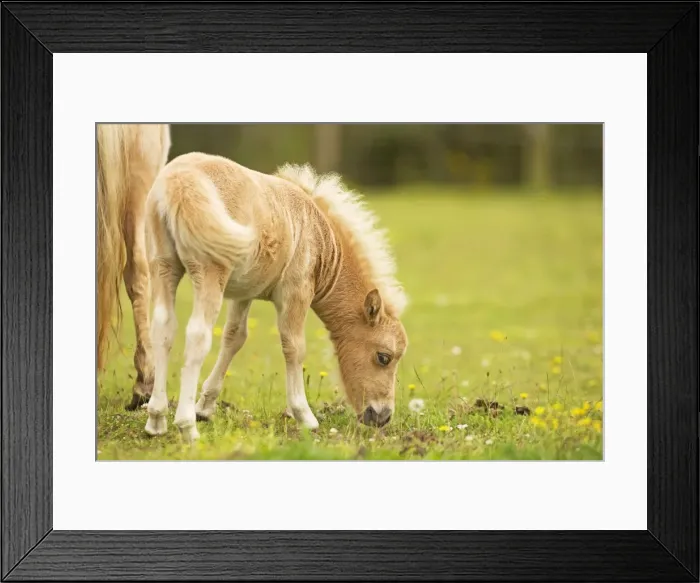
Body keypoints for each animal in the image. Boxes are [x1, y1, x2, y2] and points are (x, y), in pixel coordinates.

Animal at [143, 152, 409, 441]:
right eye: (383, 357)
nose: (383, 416)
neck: (318, 234)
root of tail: (179, 180)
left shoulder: (245, 292)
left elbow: (234, 338)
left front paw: (205, 407)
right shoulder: (296, 292)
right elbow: (294, 346)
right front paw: (305, 416)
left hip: (164, 266)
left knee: (163, 328)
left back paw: (156, 419)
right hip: (210, 273)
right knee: (197, 336)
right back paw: (186, 426)